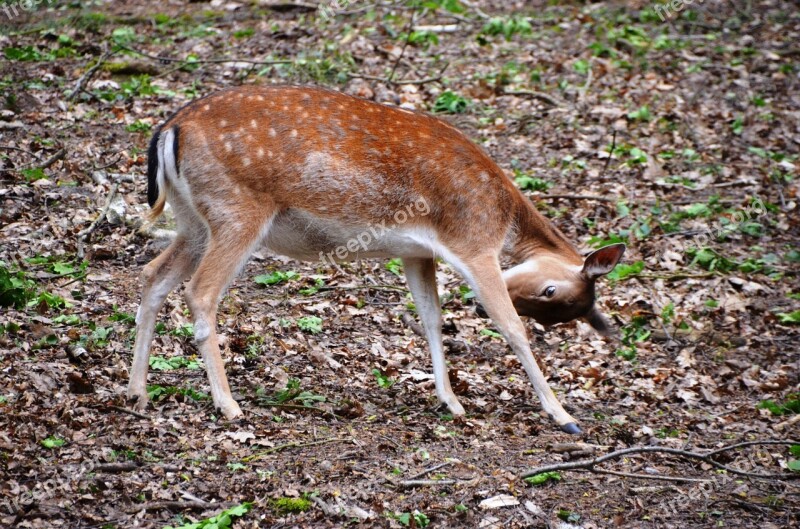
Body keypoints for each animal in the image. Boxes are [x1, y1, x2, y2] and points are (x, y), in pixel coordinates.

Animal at [128, 85, 624, 434]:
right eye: (550, 289)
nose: (476, 308)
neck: (504, 213)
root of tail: (170, 130)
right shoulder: (474, 242)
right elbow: (512, 328)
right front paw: (563, 415)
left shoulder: (417, 252)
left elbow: (431, 318)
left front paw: (451, 401)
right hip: (237, 211)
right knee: (200, 291)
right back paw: (228, 405)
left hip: (193, 218)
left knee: (153, 275)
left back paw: (137, 393)